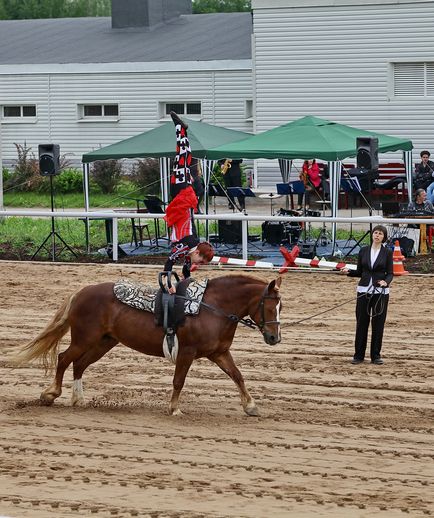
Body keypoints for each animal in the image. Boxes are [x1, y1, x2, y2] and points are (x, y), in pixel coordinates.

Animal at [16, 274, 282, 416]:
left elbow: (237, 375)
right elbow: (178, 381)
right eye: (269, 307)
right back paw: (50, 394)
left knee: (79, 365)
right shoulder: (187, 352)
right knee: (64, 358)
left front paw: (251, 406)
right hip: (84, 339)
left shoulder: (219, 352)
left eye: (282, 306)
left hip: (104, 342)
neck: (211, 308)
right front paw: (174, 409)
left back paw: (78, 399)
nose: (274, 338)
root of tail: (82, 292)